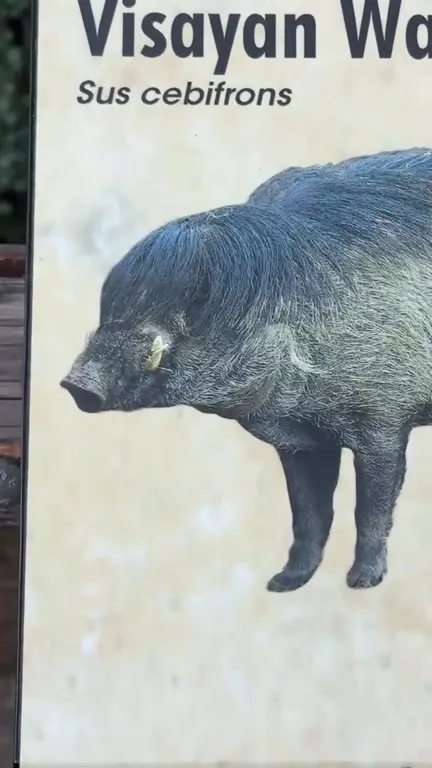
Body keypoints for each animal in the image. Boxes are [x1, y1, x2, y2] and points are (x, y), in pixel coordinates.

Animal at [61, 164, 432, 593]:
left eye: (196, 301)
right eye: (112, 302)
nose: (75, 383)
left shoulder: (383, 422)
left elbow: (370, 508)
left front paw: (361, 584)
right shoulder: (300, 442)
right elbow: (308, 512)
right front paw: (281, 584)